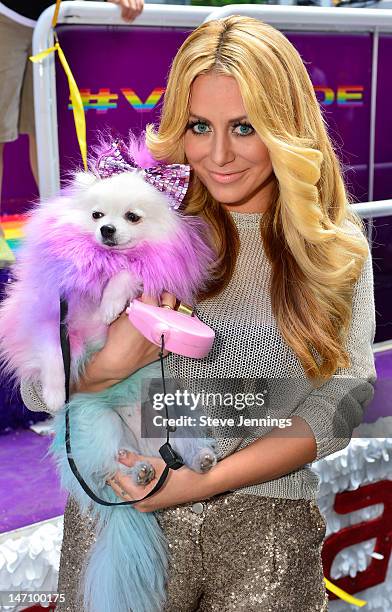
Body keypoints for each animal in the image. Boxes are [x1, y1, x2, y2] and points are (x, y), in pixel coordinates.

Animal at [0, 136, 217, 612]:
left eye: (132, 217)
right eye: (97, 216)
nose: (106, 232)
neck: (100, 264)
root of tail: (144, 445)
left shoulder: (137, 279)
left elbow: (127, 274)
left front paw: (114, 300)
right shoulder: (54, 318)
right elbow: (53, 354)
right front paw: (55, 392)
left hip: (169, 413)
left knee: (177, 452)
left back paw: (199, 460)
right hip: (101, 426)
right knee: (112, 467)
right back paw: (137, 474)